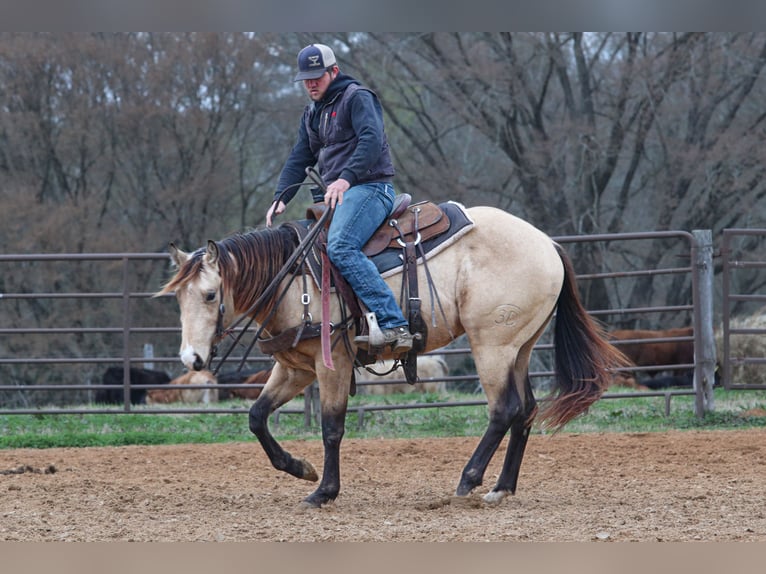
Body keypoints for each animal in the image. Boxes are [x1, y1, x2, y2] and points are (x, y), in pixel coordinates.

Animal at [158, 204, 632, 508]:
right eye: (178, 298)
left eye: (210, 294)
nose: (192, 359)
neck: (296, 278)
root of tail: (547, 243)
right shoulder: (295, 368)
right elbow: (257, 417)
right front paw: (300, 468)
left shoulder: (334, 365)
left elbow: (332, 428)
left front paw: (324, 491)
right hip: (520, 346)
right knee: (526, 410)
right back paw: (501, 488)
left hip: (492, 345)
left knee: (504, 409)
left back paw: (468, 481)